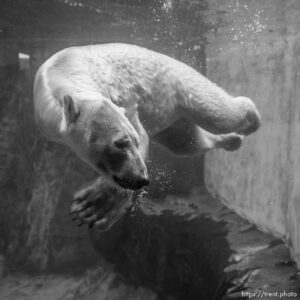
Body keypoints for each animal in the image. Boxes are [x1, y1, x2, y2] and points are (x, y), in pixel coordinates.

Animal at [33, 42, 260, 230]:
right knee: (187, 143)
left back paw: (252, 120)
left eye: (133, 140)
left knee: (218, 114)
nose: (142, 180)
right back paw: (234, 140)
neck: (63, 69)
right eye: (119, 143)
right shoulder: (47, 123)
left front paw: (94, 207)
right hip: (173, 119)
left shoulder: (122, 98)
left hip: (183, 85)